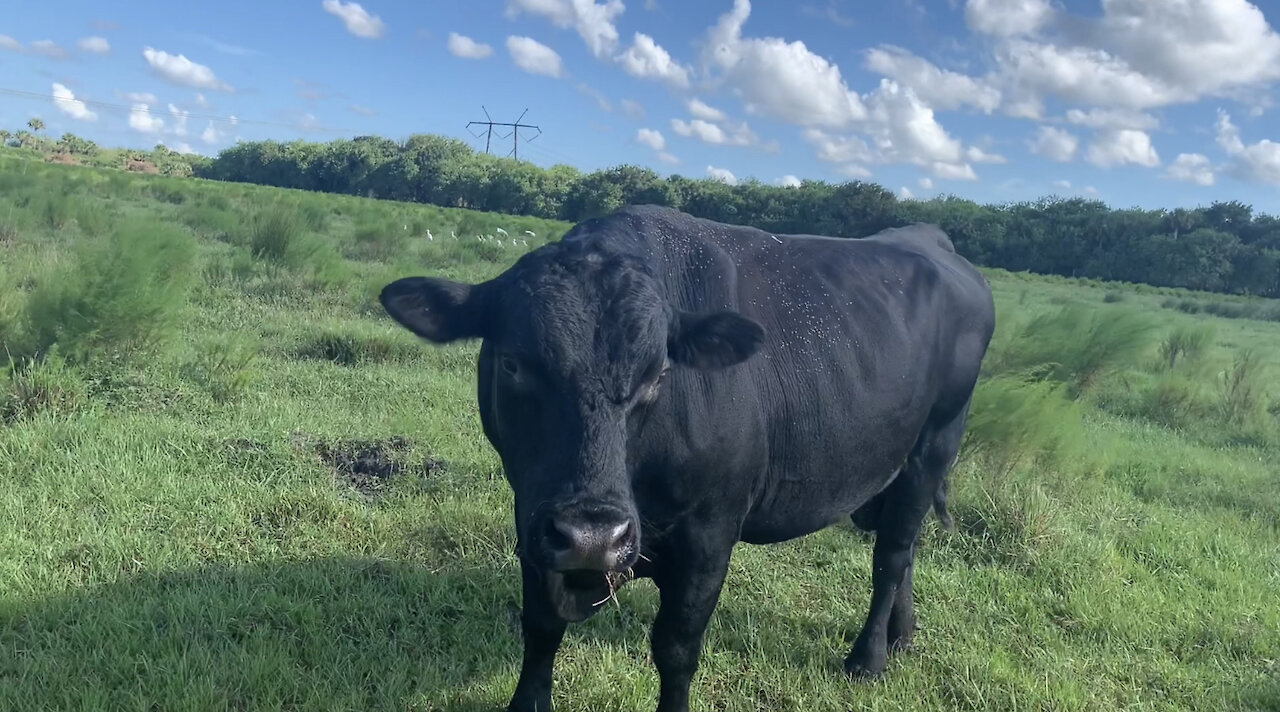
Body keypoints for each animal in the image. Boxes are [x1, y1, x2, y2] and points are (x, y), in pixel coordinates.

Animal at [378, 203, 998, 706]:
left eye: (658, 374)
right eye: (512, 362)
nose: (593, 537)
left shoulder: (710, 534)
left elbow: (676, 650)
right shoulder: (532, 519)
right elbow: (541, 627)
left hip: (935, 443)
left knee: (891, 554)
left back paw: (868, 657)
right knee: (905, 547)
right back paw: (902, 634)